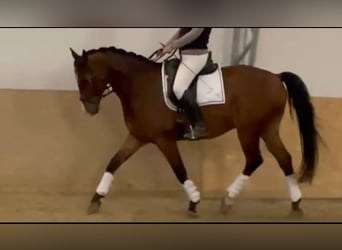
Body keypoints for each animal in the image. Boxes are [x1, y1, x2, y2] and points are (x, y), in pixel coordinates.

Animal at [69, 46, 320, 218]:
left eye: (87, 77)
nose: (88, 108)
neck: (139, 85)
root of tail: (276, 77)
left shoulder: (163, 140)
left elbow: (179, 170)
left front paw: (194, 202)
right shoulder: (138, 137)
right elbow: (113, 163)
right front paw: (95, 200)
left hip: (247, 129)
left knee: (254, 159)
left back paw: (228, 200)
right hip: (268, 128)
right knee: (284, 158)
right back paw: (295, 205)